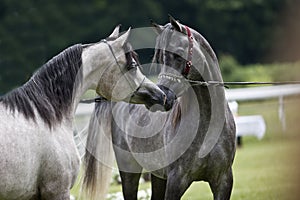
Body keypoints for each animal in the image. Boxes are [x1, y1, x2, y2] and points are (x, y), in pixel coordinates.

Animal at [83, 17, 236, 200]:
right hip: (129, 172)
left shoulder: (223, 180)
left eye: (178, 54)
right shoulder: (176, 180)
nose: (163, 97)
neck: (208, 126)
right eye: (160, 58)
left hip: (157, 175)